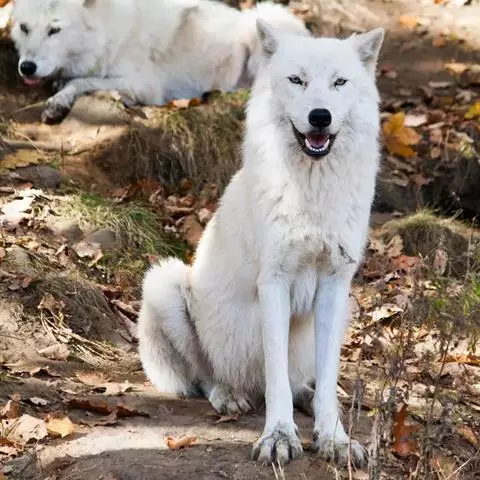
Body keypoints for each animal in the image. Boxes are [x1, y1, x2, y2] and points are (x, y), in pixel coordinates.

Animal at [10, 0, 308, 123]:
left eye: (54, 30)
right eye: (24, 28)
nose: (26, 67)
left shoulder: (145, 83)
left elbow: (81, 81)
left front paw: (57, 102)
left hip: (262, 17)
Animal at [138, 20, 384, 466]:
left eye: (339, 82)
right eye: (297, 80)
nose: (319, 116)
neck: (311, 195)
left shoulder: (335, 284)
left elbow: (326, 381)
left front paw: (334, 439)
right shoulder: (274, 282)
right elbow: (275, 380)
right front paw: (280, 437)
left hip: (345, 310)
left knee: (302, 379)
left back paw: (305, 397)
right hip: (164, 282)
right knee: (205, 376)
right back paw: (229, 395)